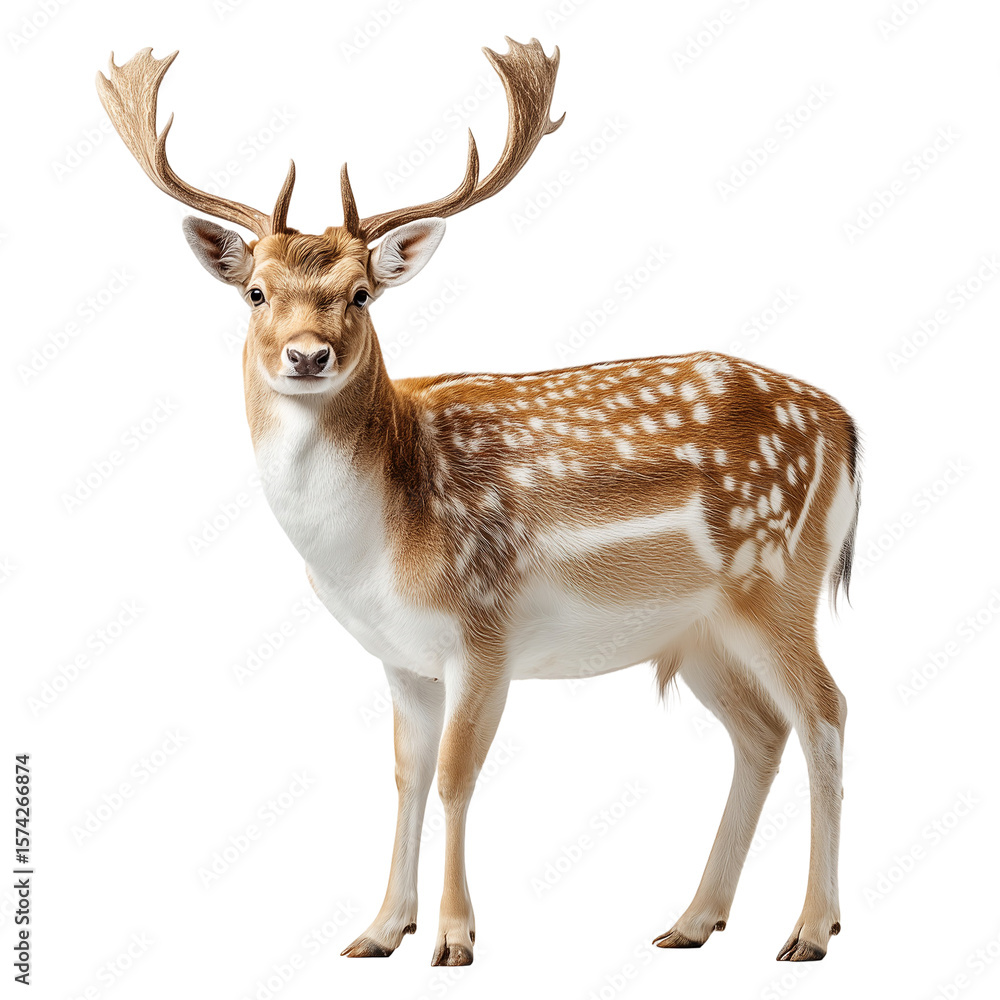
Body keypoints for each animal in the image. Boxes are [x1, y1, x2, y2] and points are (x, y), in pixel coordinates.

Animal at [96, 39, 860, 967]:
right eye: (255, 293)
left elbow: (459, 777)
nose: (308, 355)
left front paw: (455, 939)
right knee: (760, 733)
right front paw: (378, 930)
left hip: (777, 579)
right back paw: (690, 920)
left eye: (361, 294)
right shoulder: (399, 655)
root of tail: (848, 426)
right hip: (698, 630)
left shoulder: (485, 629)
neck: (376, 548)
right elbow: (407, 774)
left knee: (825, 712)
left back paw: (811, 930)